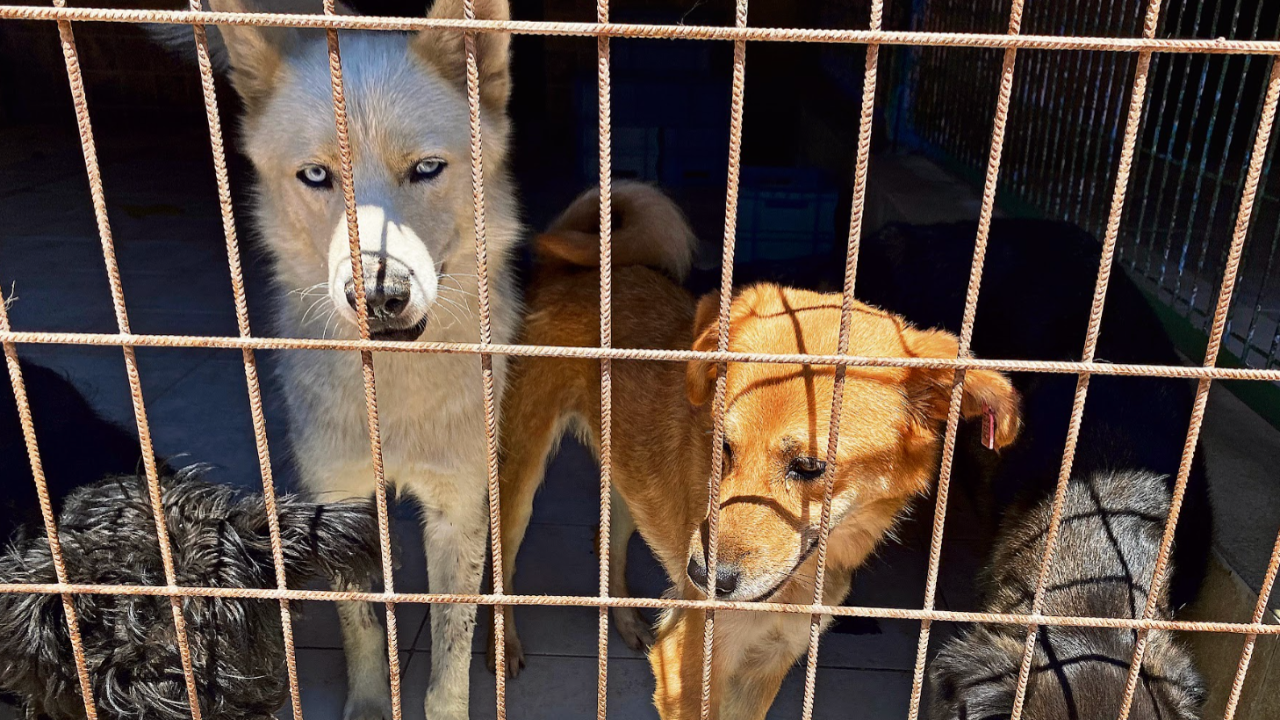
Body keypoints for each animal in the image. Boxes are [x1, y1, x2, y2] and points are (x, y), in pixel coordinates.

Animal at [152, 2, 522, 712]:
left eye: (426, 169)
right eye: (318, 176)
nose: (380, 295)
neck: (394, 394)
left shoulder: (458, 507)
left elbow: (451, 652)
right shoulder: (339, 499)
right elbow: (362, 627)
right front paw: (371, 705)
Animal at [488, 181, 1018, 712]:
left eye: (809, 466)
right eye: (721, 446)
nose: (702, 578)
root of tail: (569, 270)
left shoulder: (768, 663)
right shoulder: (686, 665)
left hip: (629, 481)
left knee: (607, 539)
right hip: (519, 478)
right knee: (502, 563)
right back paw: (505, 646)